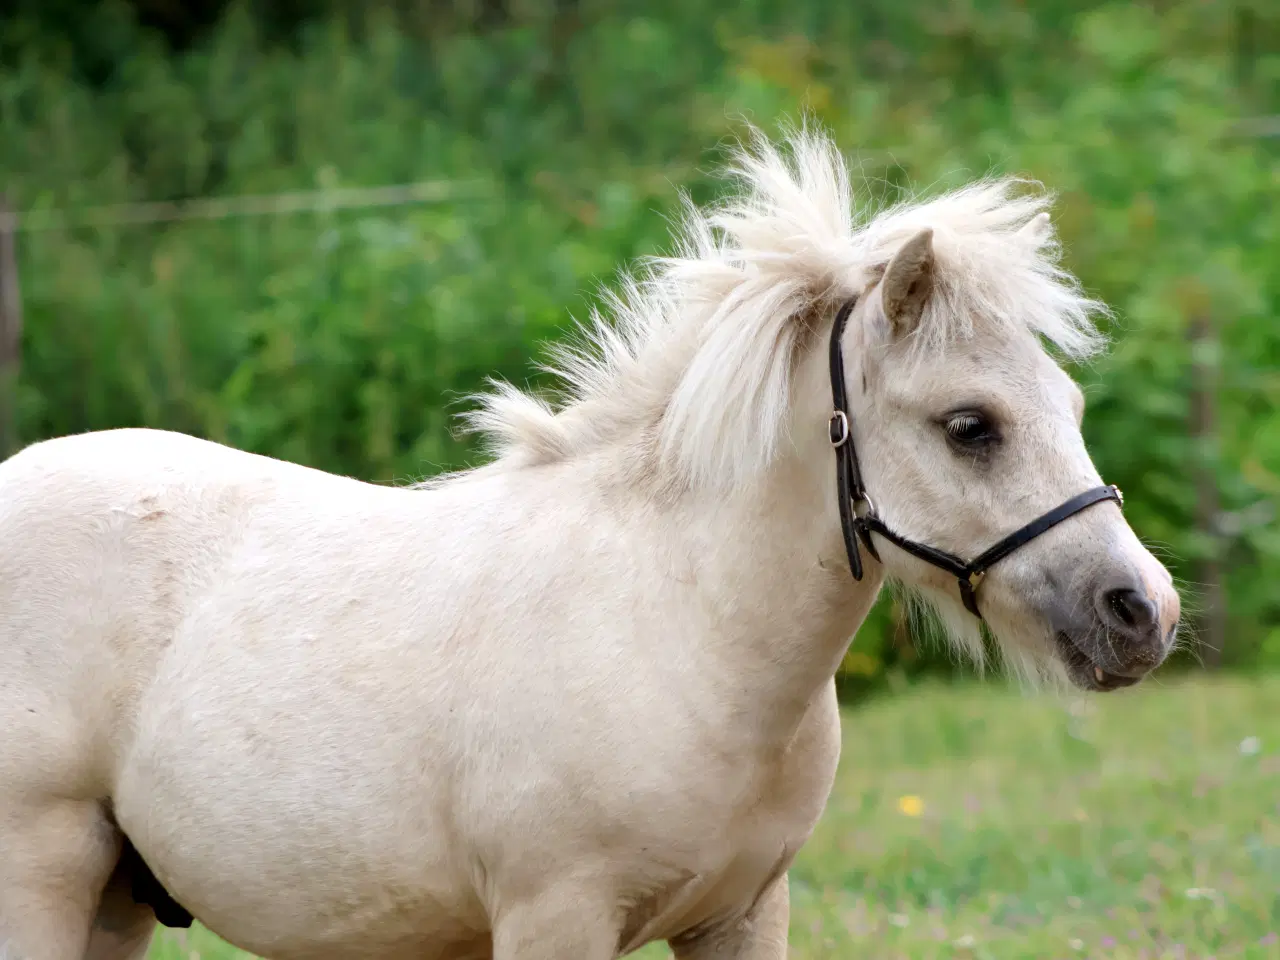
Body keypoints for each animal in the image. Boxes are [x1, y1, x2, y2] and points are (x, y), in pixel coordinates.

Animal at [0, 128, 1177, 960]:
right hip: (44, 880)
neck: (682, 628)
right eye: (969, 425)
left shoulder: (742, 919)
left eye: (1069, 404)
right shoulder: (553, 919)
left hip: (116, 901)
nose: (1140, 612)